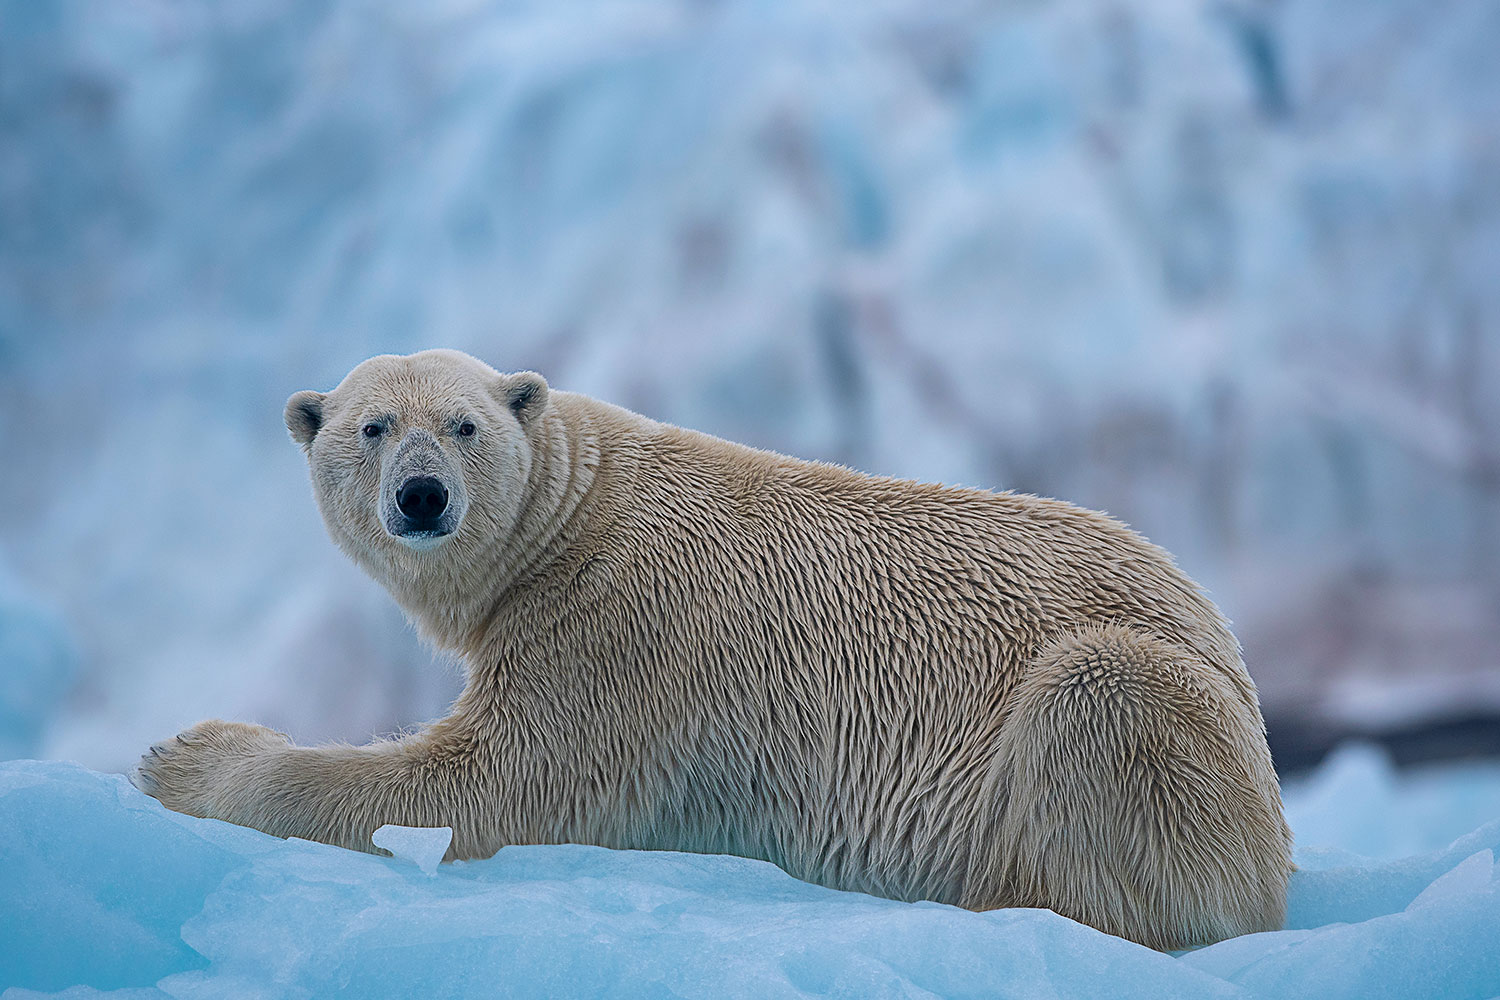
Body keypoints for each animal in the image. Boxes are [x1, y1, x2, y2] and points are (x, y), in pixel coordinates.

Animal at [137, 348, 1292, 950]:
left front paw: (184, 756)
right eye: (371, 427)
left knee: (1099, 700)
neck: (574, 515)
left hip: (1163, 714)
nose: (423, 497)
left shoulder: (613, 633)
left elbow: (487, 787)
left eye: (463, 424)